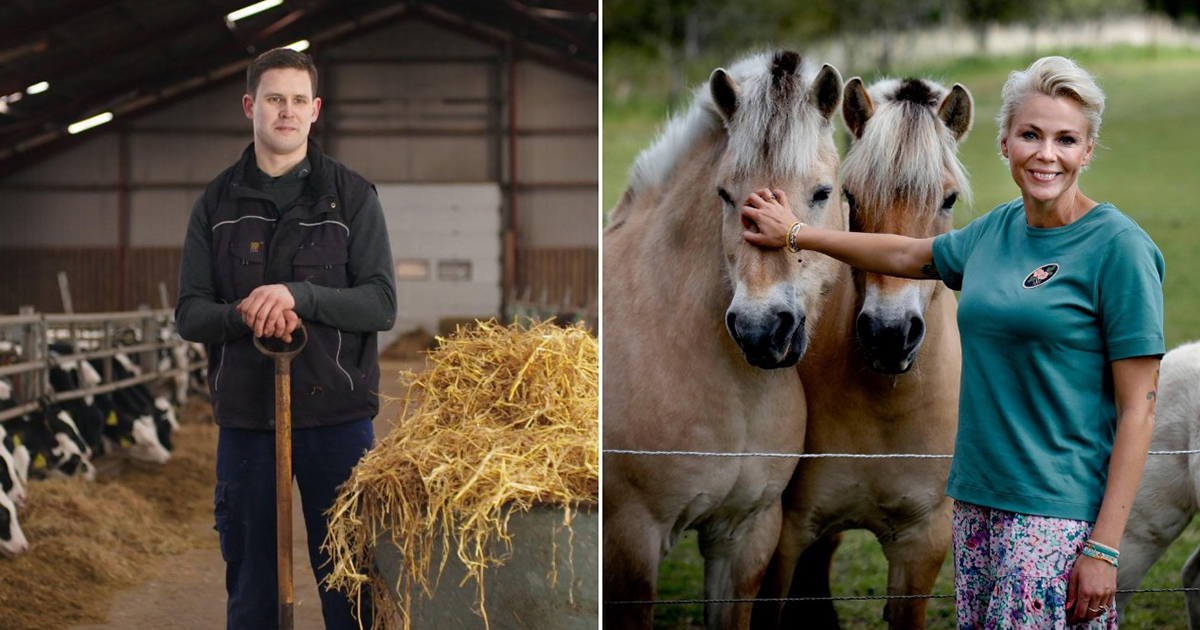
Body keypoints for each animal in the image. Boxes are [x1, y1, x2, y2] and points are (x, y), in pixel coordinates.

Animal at [753, 76, 979, 624]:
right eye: (851, 198)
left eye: (948, 199)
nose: (889, 332)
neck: (886, 410)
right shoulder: (787, 537)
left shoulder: (922, 544)